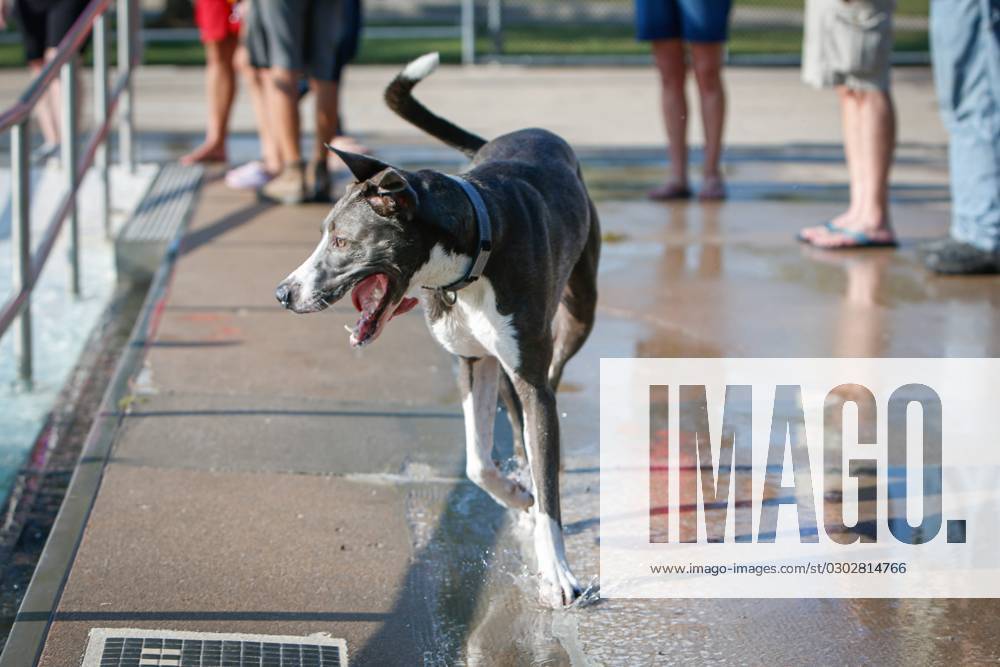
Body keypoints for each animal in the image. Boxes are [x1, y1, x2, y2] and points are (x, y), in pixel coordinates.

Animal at [276, 51, 600, 604]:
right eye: (326, 235)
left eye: (341, 242)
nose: (284, 293)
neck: (475, 248)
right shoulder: (473, 359)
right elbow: (477, 463)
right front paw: (518, 496)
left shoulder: (526, 372)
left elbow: (547, 483)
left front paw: (558, 571)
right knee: (515, 428)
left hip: (580, 310)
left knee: (553, 375)